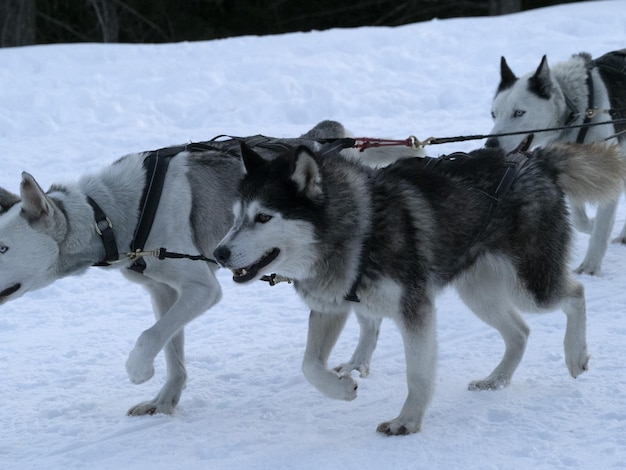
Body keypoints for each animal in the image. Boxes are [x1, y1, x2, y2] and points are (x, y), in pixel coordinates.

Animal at [0, 120, 398, 414]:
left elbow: (149, 336)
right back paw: (358, 362)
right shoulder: (164, 292)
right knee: (370, 319)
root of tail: (325, 141)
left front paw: (138, 369)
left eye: (3, 247)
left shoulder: (201, 289)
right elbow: (171, 349)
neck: (112, 214)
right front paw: (164, 401)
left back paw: (357, 365)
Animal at [212, 141, 620, 436]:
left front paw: (406, 421)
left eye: (264, 217)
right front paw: (343, 388)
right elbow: (310, 365)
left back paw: (575, 355)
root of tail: (536, 160)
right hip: (479, 293)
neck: (360, 230)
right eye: (235, 216)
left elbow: (418, 374)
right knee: (520, 331)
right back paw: (496, 380)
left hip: (531, 285)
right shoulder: (333, 306)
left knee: (575, 293)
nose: (219, 252)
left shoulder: (415, 309)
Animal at [486, 49, 624, 274]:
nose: (490, 143)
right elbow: (579, 218)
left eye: (519, 113)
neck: (580, 111)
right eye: (493, 114)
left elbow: (602, 227)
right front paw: (591, 223)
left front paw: (591, 265)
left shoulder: (611, 173)